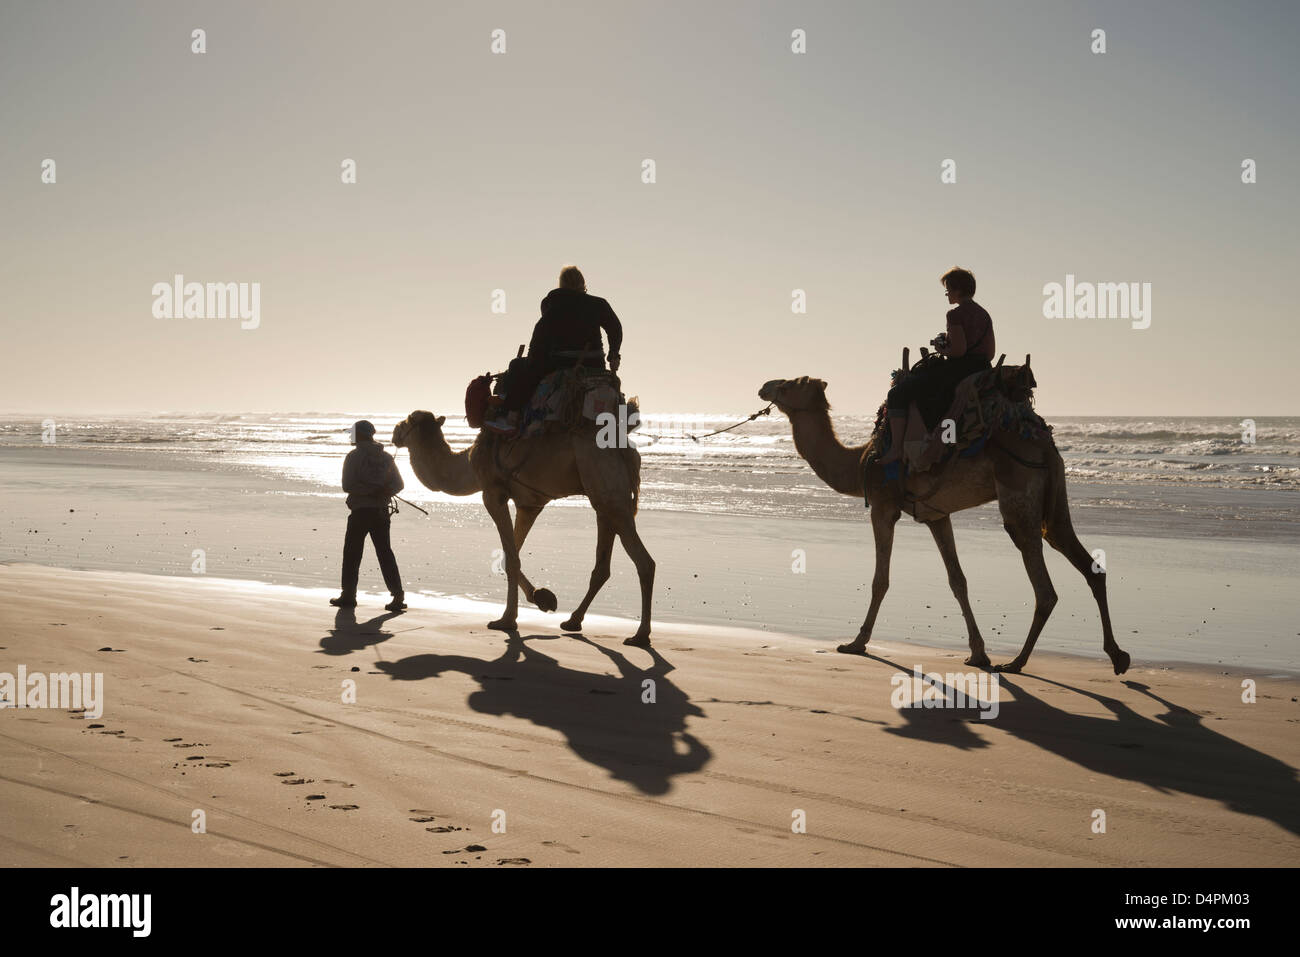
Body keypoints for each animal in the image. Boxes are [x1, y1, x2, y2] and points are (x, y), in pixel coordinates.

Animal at [382, 408, 650, 642]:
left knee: (644, 561)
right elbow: (509, 557)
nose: (394, 432)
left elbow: (511, 559)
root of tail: (625, 450)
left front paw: (507, 620)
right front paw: (543, 598)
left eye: (407, 420)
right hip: (603, 499)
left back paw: (640, 635)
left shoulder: (493, 494)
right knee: (603, 565)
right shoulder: (529, 504)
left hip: (607, 489)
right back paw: (573, 621)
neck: (469, 465)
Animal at [759, 377, 1133, 676]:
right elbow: (958, 581)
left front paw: (856, 643)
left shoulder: (882, 506)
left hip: (1019, 493)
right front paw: (978, 653)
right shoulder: (937, 516)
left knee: (1044, 586)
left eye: (790, 384)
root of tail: (1046, 446)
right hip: (1054, 503)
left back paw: (1017, 662)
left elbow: (880, 580)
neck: (860, 460)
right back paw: (1117, 656)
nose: (764, 386)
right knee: (1085, 561)